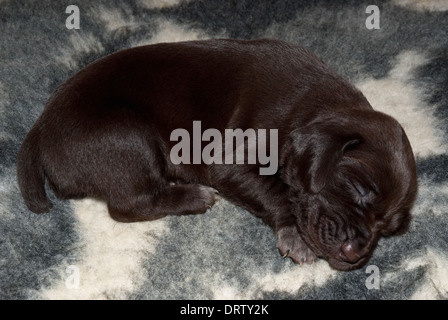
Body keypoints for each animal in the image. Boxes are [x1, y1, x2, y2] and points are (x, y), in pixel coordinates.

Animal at [16, 38, 416, 270]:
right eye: (359, 188)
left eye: (389, 228)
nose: (356, 255)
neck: (315, 106)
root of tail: (40, 127)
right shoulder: (229, 159)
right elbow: (278, 192)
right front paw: (296, 234)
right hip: (127, 133)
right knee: (128, 204)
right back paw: (192, 196)